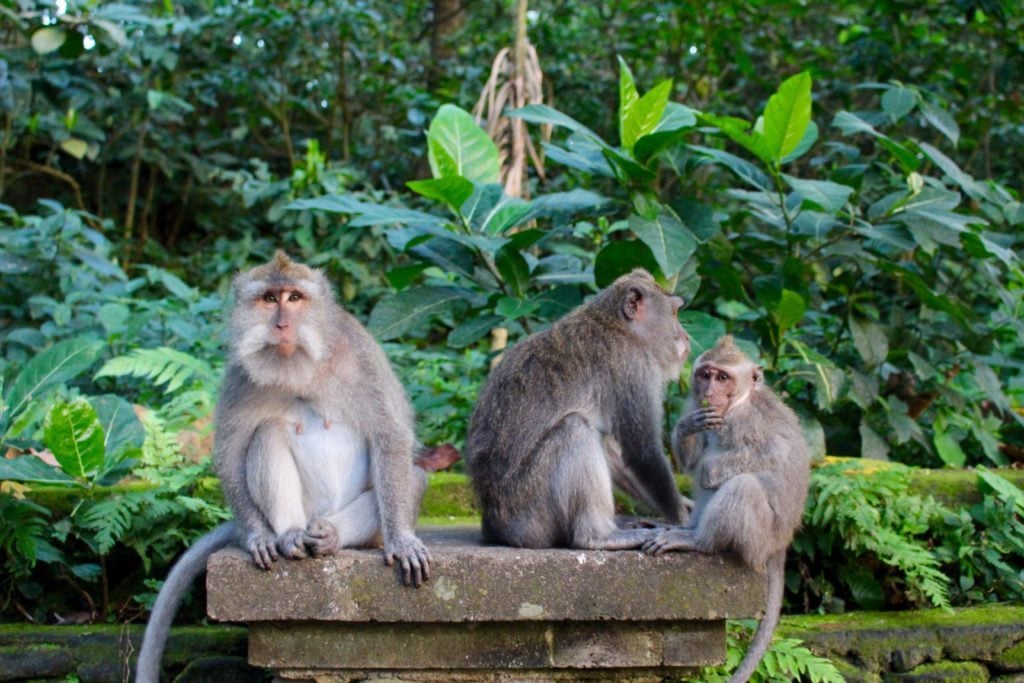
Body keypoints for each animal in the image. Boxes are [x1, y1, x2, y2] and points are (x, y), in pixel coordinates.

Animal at [138, 250, 434, 683]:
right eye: (268, 299)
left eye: (294, 298)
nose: (281, 324)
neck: (300, 367)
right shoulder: (239, 373)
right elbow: (230, 452)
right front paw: (258, 536)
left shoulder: (361, 354)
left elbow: (390, 436)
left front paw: (402, 541)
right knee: (267, 433)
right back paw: (290, 536)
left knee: (411, 477)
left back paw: (331, 536)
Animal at [466, 266, 696, 548]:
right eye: (674, 313)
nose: (686, 337)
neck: (617, 327)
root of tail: (495, 526)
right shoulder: (633, 367)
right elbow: (642, 451)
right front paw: (682, 521)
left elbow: (618, 455)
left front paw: (686, 506)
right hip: (529, 514)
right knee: (574, 428)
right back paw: (598, 536)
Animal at [647, 335, 806, 683]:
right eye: (705, 375)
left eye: (723, 378)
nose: (709, 392)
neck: (741, 401)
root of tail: (782, 544)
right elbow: (692, 460)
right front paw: (685, 427)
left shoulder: (744, 422)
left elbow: (771, 454)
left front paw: (712, 469)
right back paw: (686, 527)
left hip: (761, 537)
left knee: (742, 486)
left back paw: (698, 540)